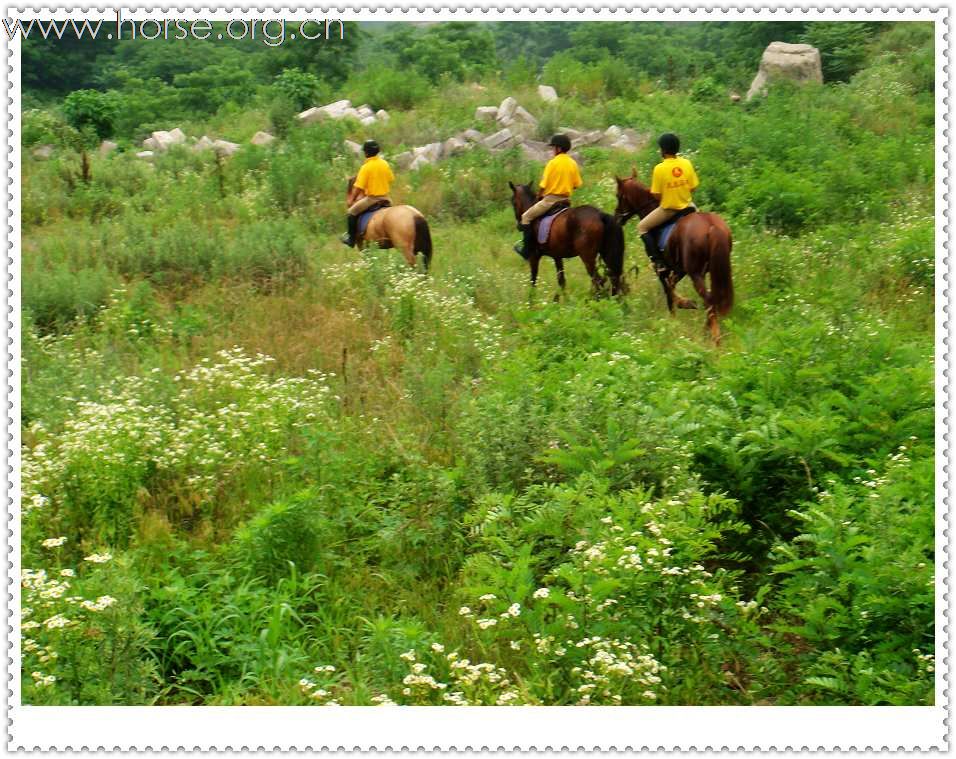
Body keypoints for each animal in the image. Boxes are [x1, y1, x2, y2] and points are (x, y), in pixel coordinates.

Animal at [616, 172, 736, 344]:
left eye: (618, 195)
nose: (617, 218)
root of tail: (711, 226)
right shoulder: (679, 269)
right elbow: (672, 285)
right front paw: (686, 303)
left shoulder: (662, 268)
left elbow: (668, 292)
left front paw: (677, 314)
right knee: (711, 299)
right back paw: (707, 331)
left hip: (696, 274)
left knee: (708, 300)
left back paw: (715, 338)